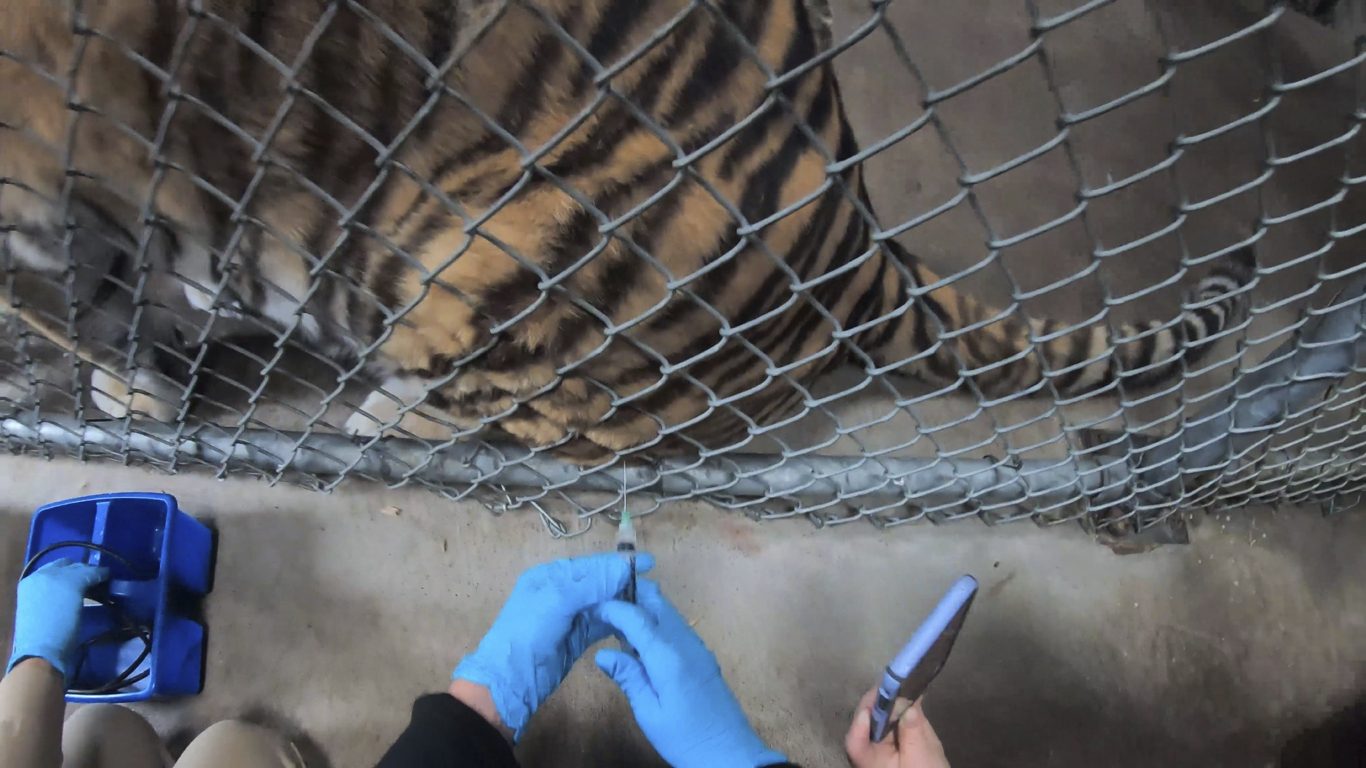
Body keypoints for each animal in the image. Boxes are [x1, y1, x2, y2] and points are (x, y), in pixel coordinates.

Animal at [0, 0, 1251, 459]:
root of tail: (856, 244)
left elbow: (97, 300)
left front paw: (128, 390)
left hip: (481, 257)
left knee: (489, 411)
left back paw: (371, 417)